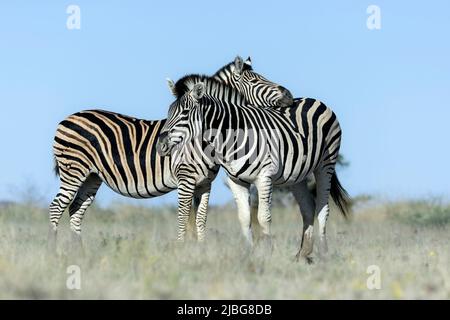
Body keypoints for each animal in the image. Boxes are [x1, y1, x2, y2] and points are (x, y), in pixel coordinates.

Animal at [48, 57, 292, 249]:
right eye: (256, 80)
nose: (289, 95)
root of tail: (67, 119)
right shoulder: (186, 177)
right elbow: (184, 216)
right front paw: (181, 250)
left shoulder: (205, 183)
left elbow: (200, 219)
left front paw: (200, 251)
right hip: (73, 171)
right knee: (56, 207)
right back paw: (54, 253)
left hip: (92, 176)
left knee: (76, 210)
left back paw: (79, 253)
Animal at [156, 76, 350, 262]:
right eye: (169, 112)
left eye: (185, 112)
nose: (160, 145)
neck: (230, 139)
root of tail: (313, 99)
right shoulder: (236, 180)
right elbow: (244, 218)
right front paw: (249, 254)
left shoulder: (264, 177)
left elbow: (263, 217)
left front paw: (268, 252)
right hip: (297, 176)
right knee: (308, 208)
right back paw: (303, 253)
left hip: (326, 163)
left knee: (323, 209)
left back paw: (324, 254)